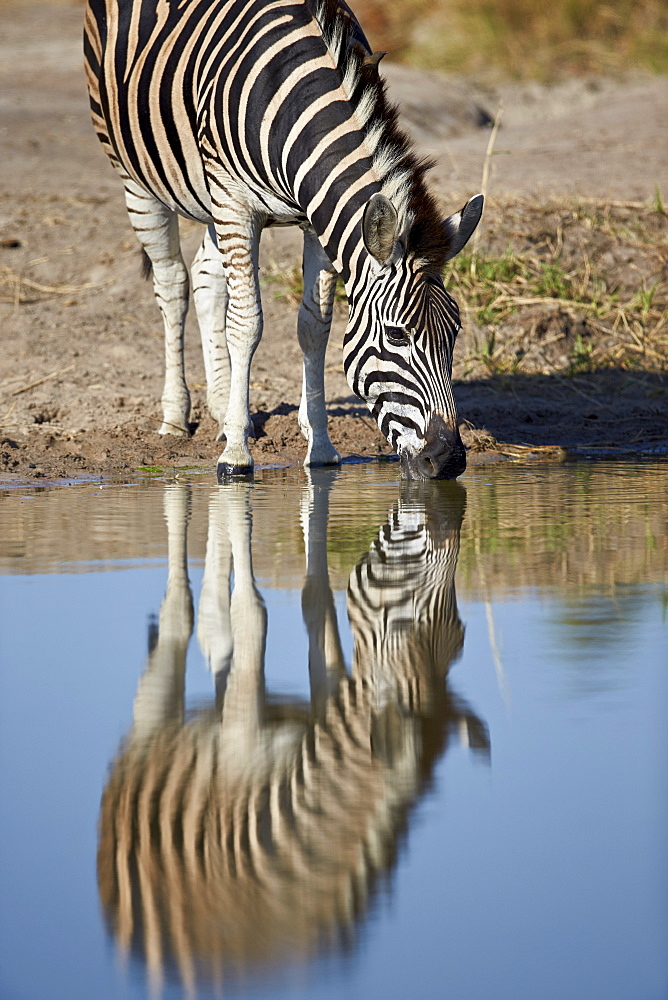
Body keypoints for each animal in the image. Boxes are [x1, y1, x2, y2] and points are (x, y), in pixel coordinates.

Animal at [83, 0, 482, 480]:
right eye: (397, 336)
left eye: (455, 331)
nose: (448, 460)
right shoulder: (235, 201)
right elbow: (247, 323)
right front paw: (236, 455)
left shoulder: (314, 218)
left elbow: (314, 327)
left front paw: (321, 448)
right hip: (137, 177)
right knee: (172, 284)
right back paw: (176, 417)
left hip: (208, 196)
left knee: (205, 277)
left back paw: (221, 407)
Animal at [96, 474, 488, 992]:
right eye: (405, 621)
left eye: (460, 635)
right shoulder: (240, 744)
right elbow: (254, 614)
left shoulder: (327, 711)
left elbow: (313, 602)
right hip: (150, 725)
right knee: (178, 619)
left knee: (216, 636)